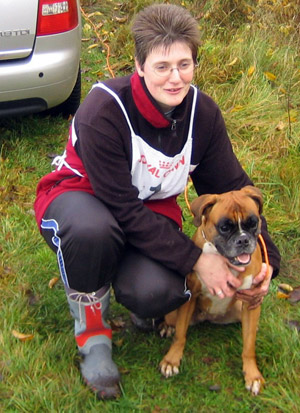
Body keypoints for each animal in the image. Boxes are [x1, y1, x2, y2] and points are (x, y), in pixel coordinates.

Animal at [161, 185, 266, 394]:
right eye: (224, 227)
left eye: (253, 223)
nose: (243, 240)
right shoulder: (191, 297)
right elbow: (180, 335)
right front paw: (172, 360)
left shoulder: (251, 302)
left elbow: (249, 346)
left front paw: (252, 375)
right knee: (173, 322)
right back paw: (167, 327)